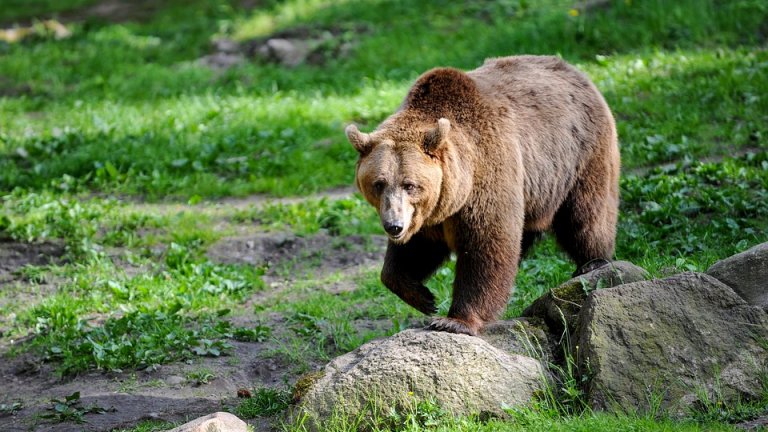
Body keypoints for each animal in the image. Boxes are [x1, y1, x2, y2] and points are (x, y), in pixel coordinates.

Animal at [344, 55, 620, 336]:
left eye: (409, 184)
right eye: (379, 184)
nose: (394, 226)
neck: (456, 190)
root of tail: (574, 70)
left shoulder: (486, 175)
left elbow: (486, 246)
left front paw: (454, 320)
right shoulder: (427, 214)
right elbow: (413, 252)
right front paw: (423, 297)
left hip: (580, 156)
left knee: (585, 216)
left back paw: (593, 262)